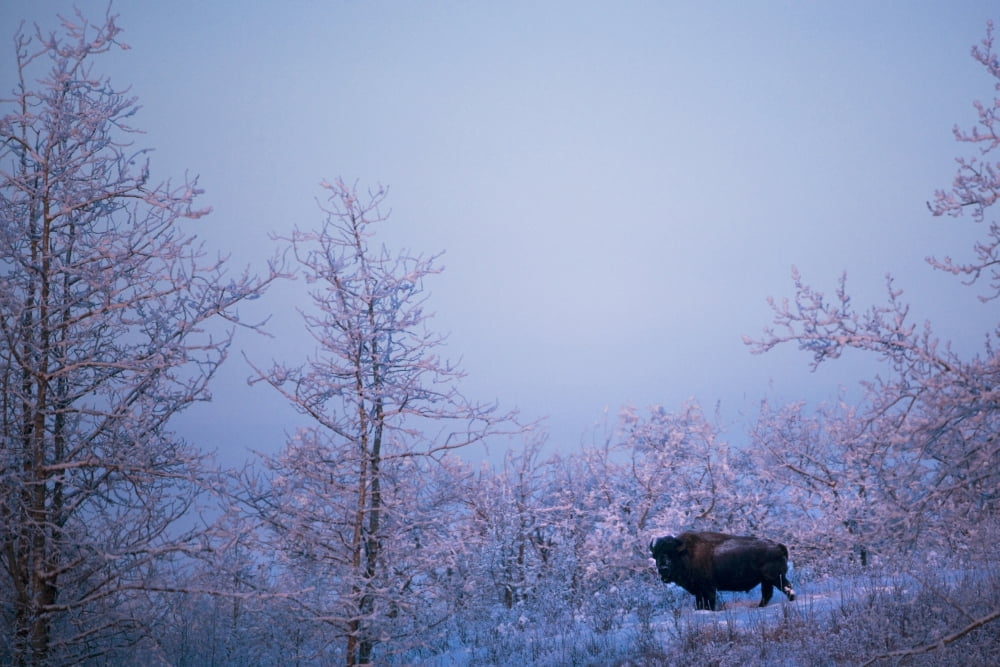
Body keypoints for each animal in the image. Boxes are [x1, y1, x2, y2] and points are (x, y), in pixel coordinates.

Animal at [649, 531, 796, 611]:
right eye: (656, 555)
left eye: (671, 554)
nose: (663, 569)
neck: (686, 554)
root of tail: (779, 546)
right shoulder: (699, 591)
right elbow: (700, 603)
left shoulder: (708, 588)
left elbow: (709, 602)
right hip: (766, 580)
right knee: (767, 594)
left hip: (775, 578)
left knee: (786, 588)